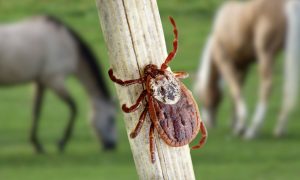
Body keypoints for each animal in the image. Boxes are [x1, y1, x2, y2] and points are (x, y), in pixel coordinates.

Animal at [0, 15, 117, 152]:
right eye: (111, 119)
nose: (112, 145)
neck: (68, 45)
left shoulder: (40, 82)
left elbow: (36, 110)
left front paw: (36, 144)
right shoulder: (54, 80)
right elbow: (73, 107)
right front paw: (61, 143)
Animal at [193, 0, 298, 139]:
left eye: (200, 95)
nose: (209, 123)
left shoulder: (225, 62)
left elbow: (235, 89)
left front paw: (241, 125)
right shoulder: (243, 66)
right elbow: (237, 89)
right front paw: (235, 125)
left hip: (266, 53)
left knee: (267, 86)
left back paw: (252, 130)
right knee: (287, 88)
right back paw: (280, 128)